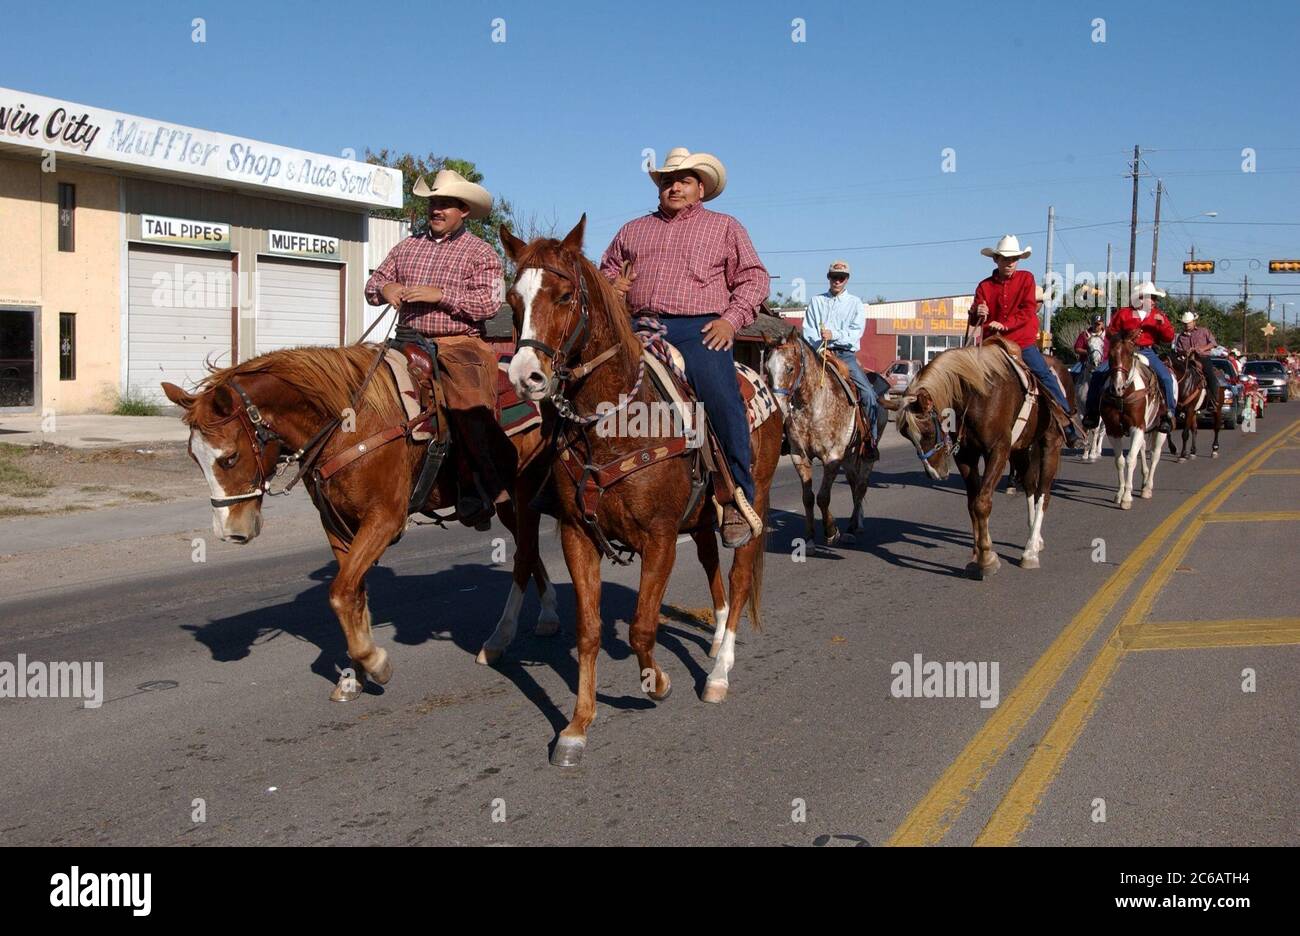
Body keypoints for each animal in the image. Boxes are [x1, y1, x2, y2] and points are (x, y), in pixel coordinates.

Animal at [161, 343, 559, 702]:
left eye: (229, 458)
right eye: (194, 457)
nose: (231, 531)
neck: (349, 426)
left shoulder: (384, 520)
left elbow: (339, 593)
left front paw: (374, 662)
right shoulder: (337, 524)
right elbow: (353, 593)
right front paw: (355, 674)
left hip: (520, 495)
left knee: (524, 555)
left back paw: (504, 637)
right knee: (529, 552)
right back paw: (545, 616)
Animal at [496, 219, 780, 769]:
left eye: (565, 295)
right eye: (513, 298)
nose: (526, 377)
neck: (616, 424)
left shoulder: (660, 538)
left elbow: (642, 627)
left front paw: (658, 683)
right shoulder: (576, 535)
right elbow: (588, 631)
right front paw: (576, 728)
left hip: (751, 503)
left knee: (737, 577)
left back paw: (719, 671)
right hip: (702, 516)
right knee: (711, 565)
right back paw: (715, 639)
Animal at [764, 332, 889, 546]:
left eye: (790, 368)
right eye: (767, 369)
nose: (778, 409)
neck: (813, 404)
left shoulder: (832, 457)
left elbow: (823, 497)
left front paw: (831, 531)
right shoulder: (799, 455)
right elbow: (808, 497)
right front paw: (809, 538)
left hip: (867, 452)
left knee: (862, 486)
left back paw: (852, 528)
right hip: (848, 455)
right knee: (854, 483)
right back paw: (854, 524)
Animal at [889, 340, 1071, 577]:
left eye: (928, 432)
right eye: (907, 436)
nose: (934, 473)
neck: (977, 395)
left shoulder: (998, 450)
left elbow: (982, 503)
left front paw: (986, 558)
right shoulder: (967, 456)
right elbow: (971, 503)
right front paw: (979, 553)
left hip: (1051, 444)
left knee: (1043, 494)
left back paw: (1030, 551)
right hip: (1021, 449)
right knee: (1030, 487)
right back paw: (1035, 538)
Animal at [1102, 335, 1175, 506]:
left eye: (1129, 354)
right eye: (1110, 355)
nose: (1118, 387)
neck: (1124, 396)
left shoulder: (1137, 427)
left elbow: (1131, 460)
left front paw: (1127, 497)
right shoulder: (1113, 430)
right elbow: (1120, 461)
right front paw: (1120, 493)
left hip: (1159, 430)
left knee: (1155, 455)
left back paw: (1147, 487)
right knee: (1142, 449)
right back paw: (1144, 480)